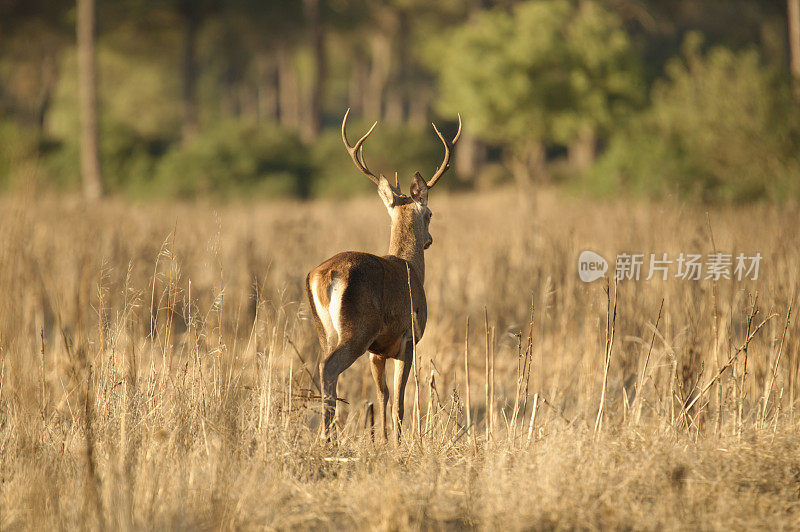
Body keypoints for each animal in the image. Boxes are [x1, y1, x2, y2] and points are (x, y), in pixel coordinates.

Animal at [304, 108, 460, 440]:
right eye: (431, 214)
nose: (429, 240)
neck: (410, 267)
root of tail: (323, 276)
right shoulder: (408, 336)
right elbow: (399, 401)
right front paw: (399, 441)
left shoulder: (377, 351)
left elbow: (382, 395)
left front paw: (384, 440)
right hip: (358, 329)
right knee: (329, 368)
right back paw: (327, 436)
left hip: (325, 331)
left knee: (322, 365)